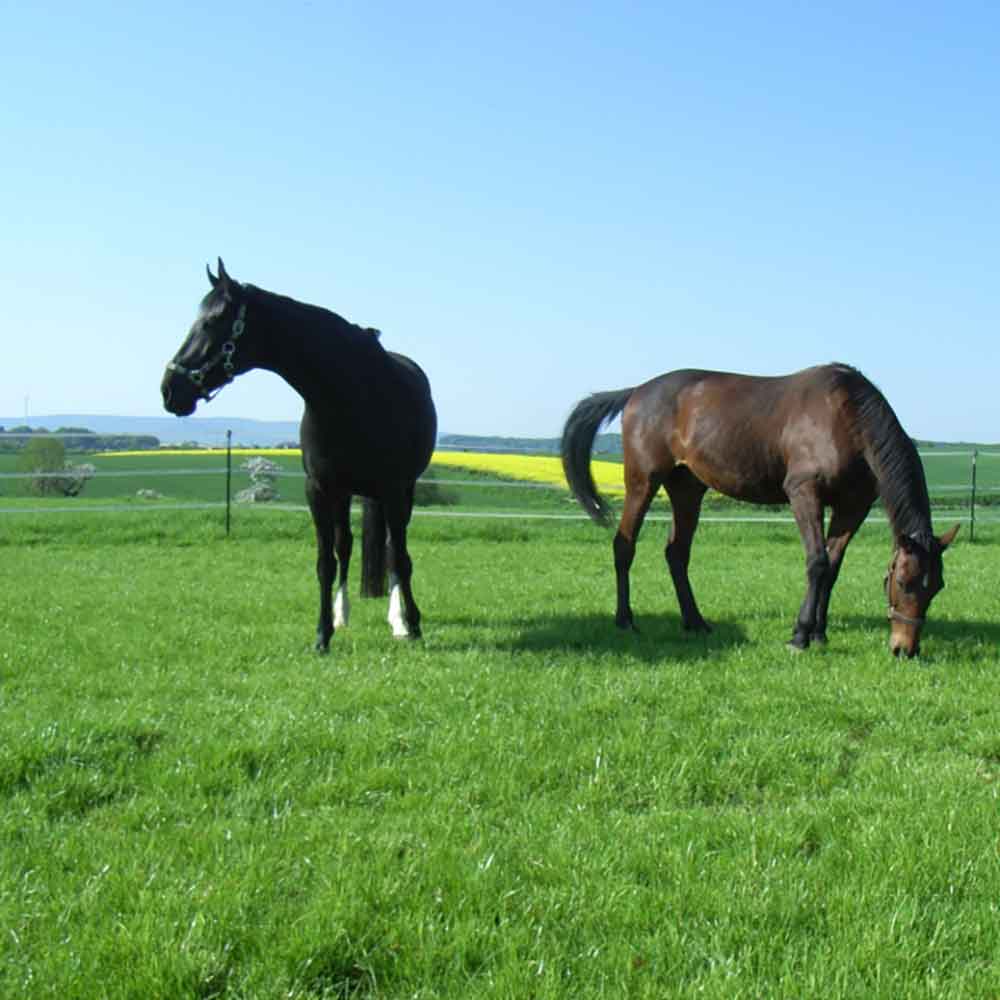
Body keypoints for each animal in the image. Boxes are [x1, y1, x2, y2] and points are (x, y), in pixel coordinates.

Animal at [161, 259, 437, 653]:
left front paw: (411, 624)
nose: (170, 390)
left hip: (397, 493)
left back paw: (396, 618)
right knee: (345, 547)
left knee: (392, 550)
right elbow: (326, 561)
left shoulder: (395, 489)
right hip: (346, 493)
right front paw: (323, 633)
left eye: (212, 321)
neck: (351, 392)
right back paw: (342, 613)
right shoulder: (319, 489)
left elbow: (399, 555)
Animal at [561, 363, 960, 657]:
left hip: (687, 488)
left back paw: (695, 622)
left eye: (937, 587)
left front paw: (819, 633)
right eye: (903, 582)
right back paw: (626, 620)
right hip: (643, 482)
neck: (845, 417)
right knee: (624, 545)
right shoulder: (804, 493)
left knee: (676, 553)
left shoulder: (853, 506)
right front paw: (800, 636)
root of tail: (636, 391)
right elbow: (817, 563)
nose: (905, 649)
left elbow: (832, 568)